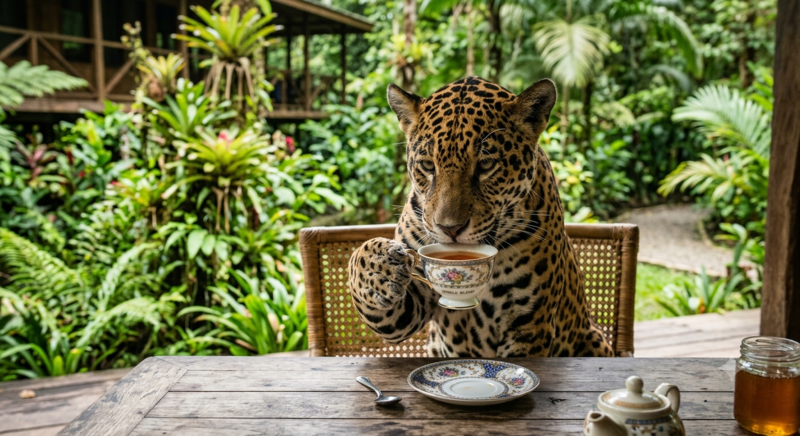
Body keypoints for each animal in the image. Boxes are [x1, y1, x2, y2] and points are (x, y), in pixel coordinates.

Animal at [347, 76, 614, 358]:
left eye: (486, 165)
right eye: (428, 166)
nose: (450, 229)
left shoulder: (529, 324)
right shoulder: (411, 306)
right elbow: (362, 268)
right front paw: (378, 266)